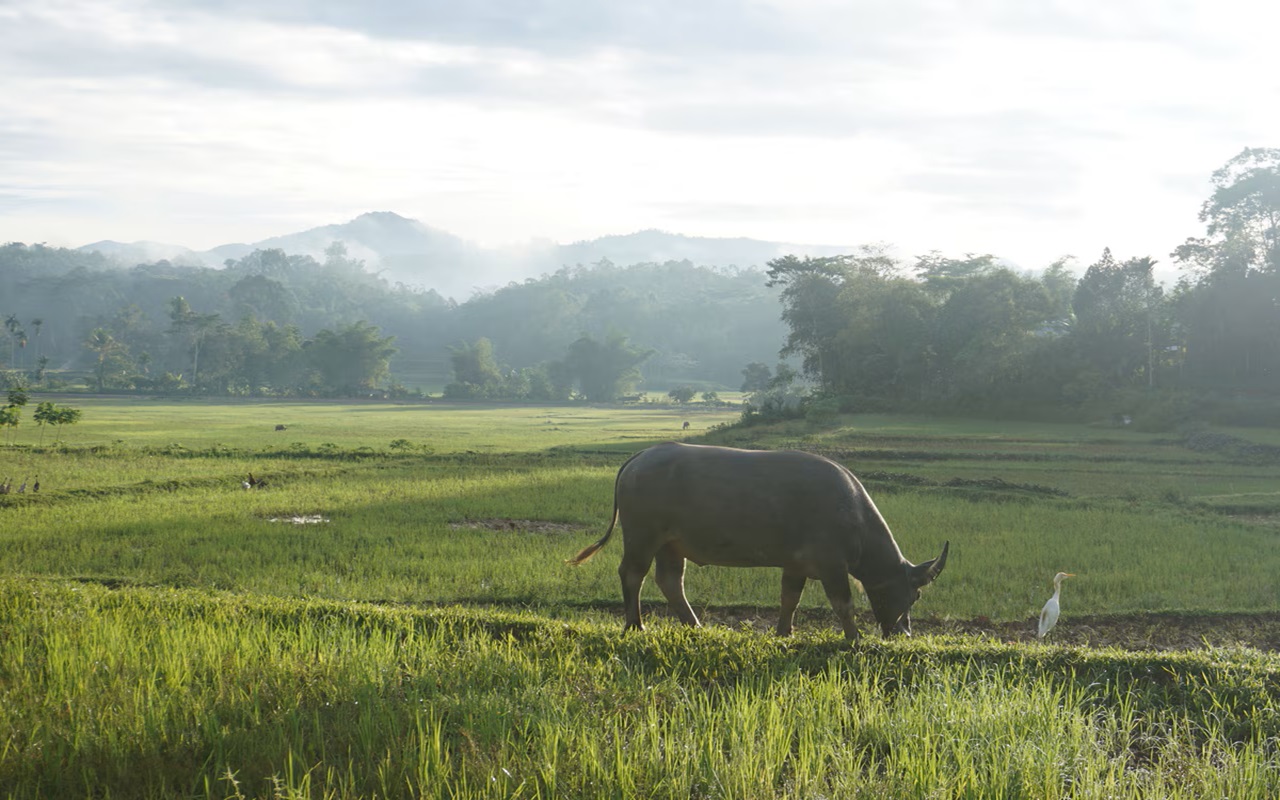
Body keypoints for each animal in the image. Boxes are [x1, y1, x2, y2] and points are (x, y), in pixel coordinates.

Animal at [565, 440, 947, 640]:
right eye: (914, 594)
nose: (904, 633)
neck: (852, 516)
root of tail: (642, 456)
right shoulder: (831, 565)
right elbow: (844, 603)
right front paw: (853, 638)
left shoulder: (796, 564)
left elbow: (789, 598)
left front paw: (784, 632)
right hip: (642, 536)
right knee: (633, 574)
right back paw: (635, 624)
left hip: (671, 544)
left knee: (670, 580)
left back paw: (695, 625)